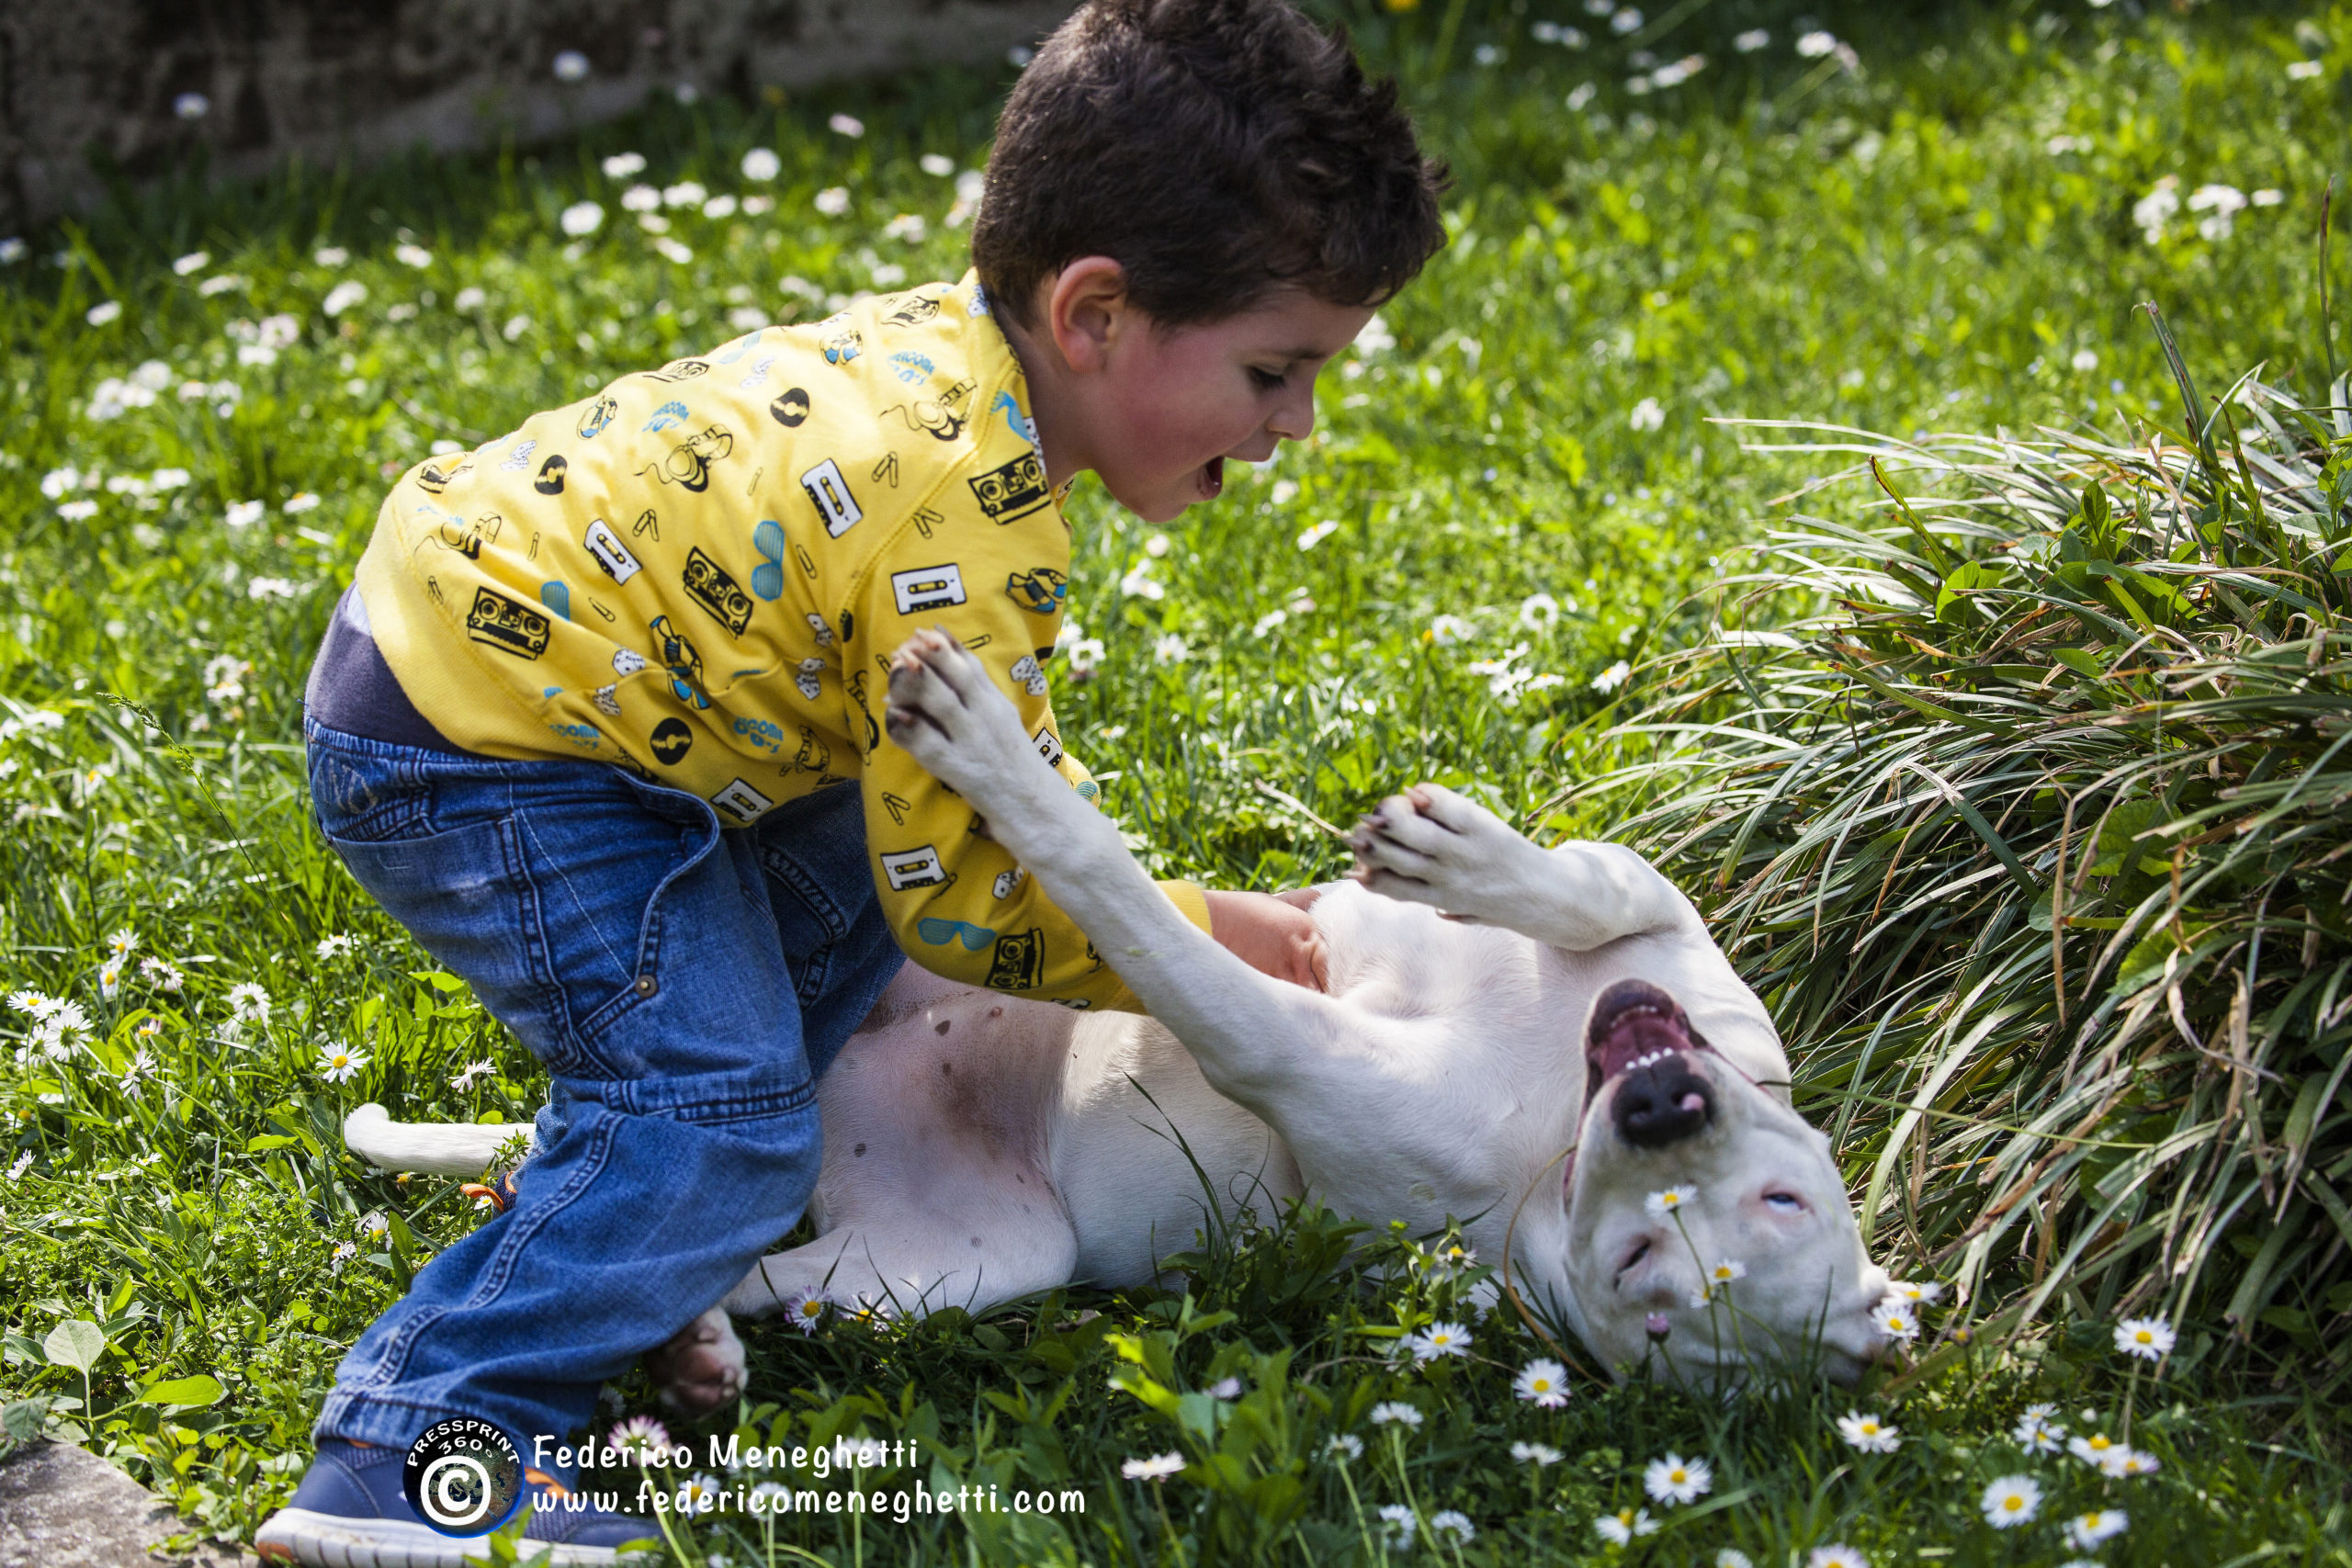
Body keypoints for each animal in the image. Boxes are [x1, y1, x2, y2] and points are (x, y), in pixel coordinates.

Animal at [343, 629, 1891, 1401]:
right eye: (1790, 1194)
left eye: (1645, 1283)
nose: (1662, 1102)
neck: (1545, 1146)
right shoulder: (1673, 940)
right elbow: (1591, 884)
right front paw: (1462, 859)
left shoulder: (1278, 1047)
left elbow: (1122, 892)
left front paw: (1001, 765)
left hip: (952, 1266)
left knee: (725, 1261)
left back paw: (688, 1346)